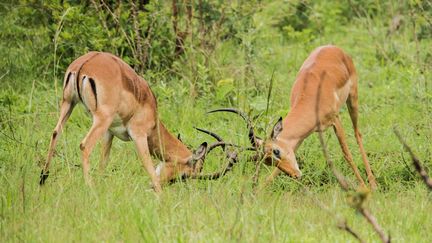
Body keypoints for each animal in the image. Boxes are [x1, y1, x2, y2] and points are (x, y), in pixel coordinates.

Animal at [40, 51, 219, 192]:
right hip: (101, 118)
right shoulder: (139, 135)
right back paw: (89, 188)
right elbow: (149, 167)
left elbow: (103, 162)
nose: (166, 183)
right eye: (184, 175)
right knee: (85, 145)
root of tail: (85, 63)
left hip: (68, 104)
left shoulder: (109, 133)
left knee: (55, 133)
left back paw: (43, 179)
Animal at [211, 45, 376, 190]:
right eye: (268, 161)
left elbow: (347, 154)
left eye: (276, 151)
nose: (296, 175)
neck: (310, 98)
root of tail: (333, 47)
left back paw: (373, 183)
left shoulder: (336, 120)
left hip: (353, 98)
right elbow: (275, 172)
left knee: (358, 134)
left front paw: (363, 187)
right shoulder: (298, 138)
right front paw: (256, 192)